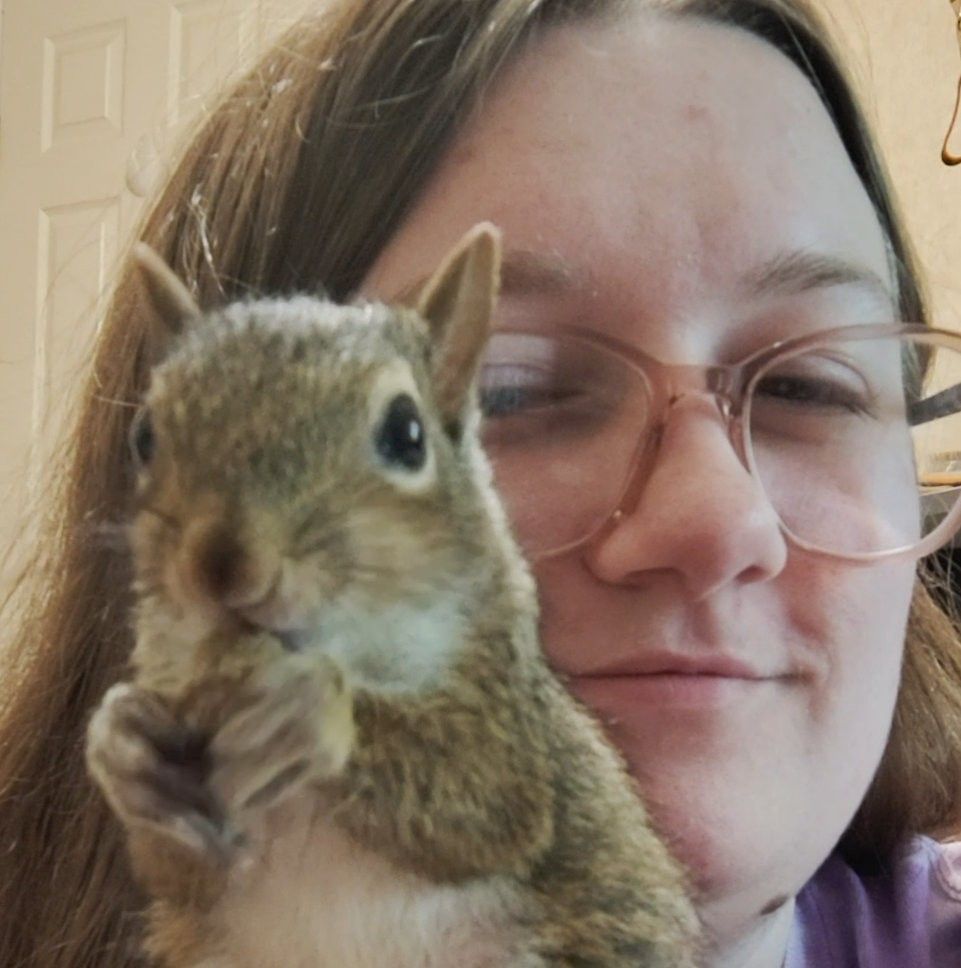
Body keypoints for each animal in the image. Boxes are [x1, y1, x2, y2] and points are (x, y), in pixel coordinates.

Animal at [85, 223, 702, 967]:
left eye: (407, 433)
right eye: (144, 436)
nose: (223, 569)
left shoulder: (510, 723)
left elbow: (486, 801)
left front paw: (308, 706)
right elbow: (181, 873)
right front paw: (121, 746)